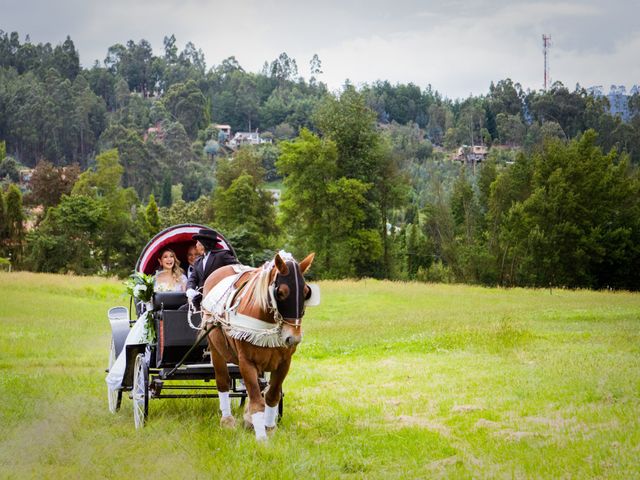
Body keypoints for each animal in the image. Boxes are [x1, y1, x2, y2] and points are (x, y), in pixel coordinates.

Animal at [198, 253, 312, 440]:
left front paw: (269, 428)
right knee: (223, 381)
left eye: (306, 292)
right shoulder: (247, 362)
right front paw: (261, 438)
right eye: (280, 292)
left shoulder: (284, 363)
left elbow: (271, 395)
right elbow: (257, 401)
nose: (293, 338)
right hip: (216, 349)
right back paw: (227, 420)